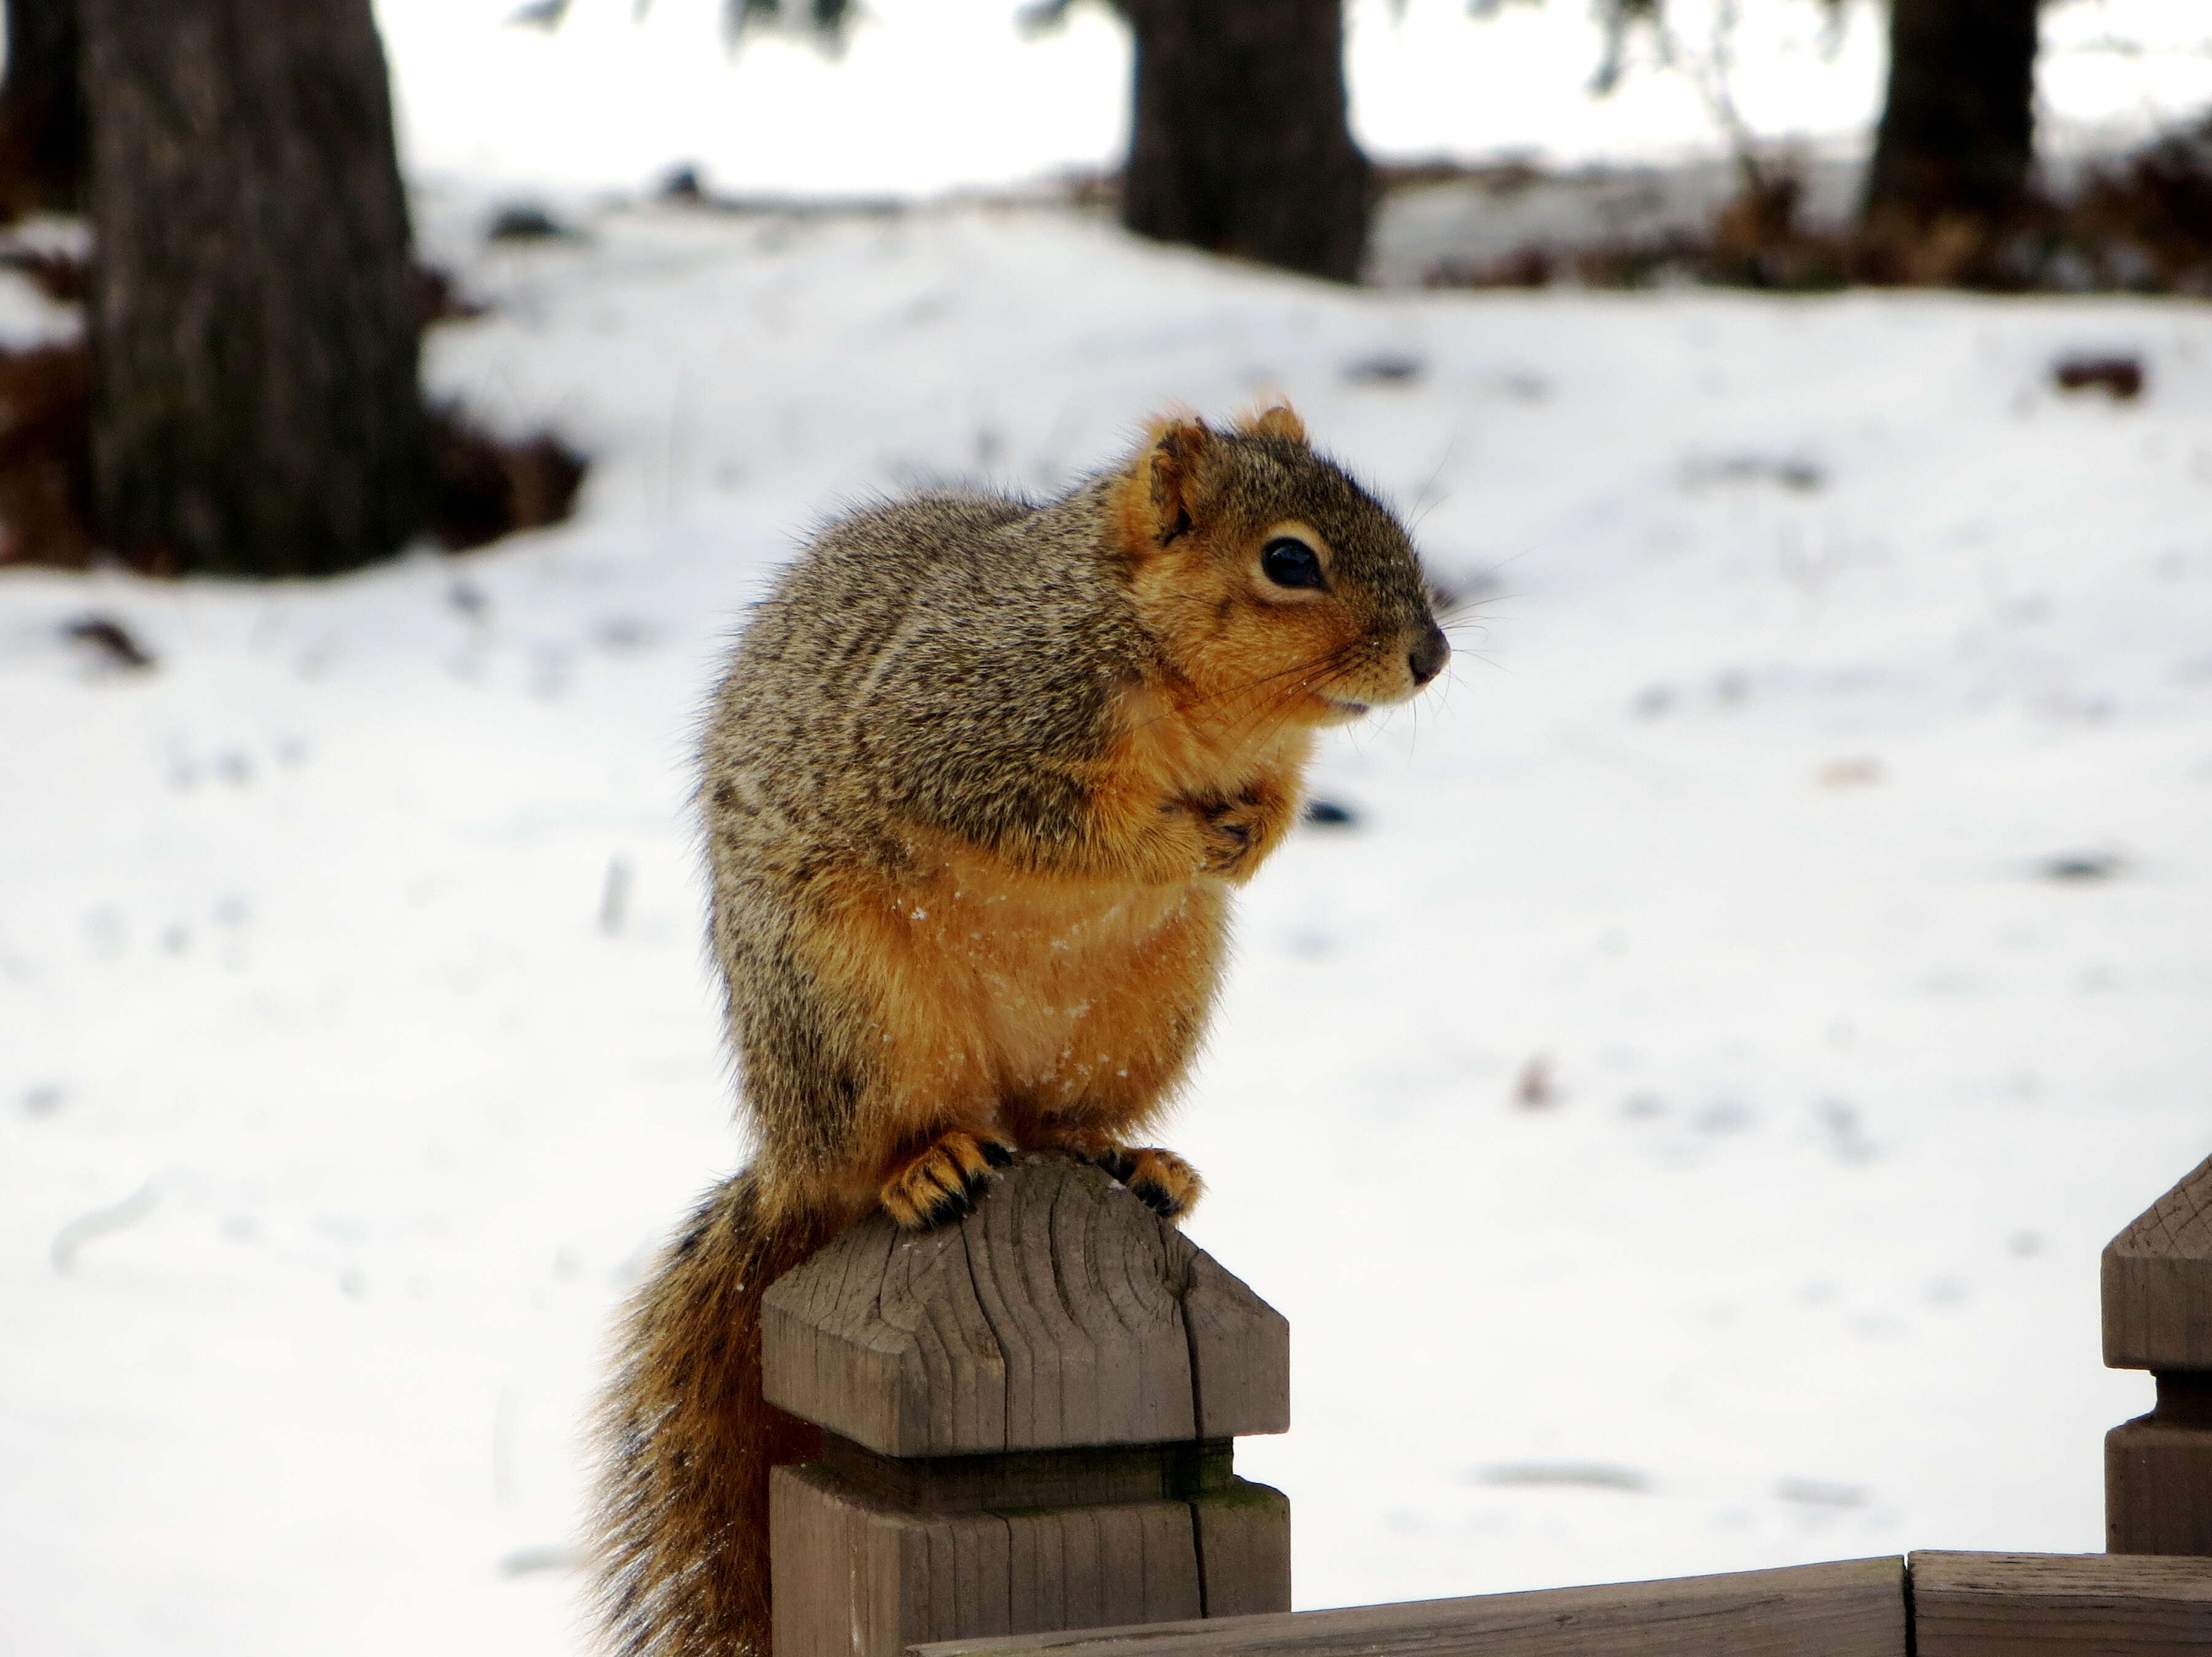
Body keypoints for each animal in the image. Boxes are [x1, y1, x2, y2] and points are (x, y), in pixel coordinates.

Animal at [588, 404, 1451, 1655]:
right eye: (1289, 561)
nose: (1430, 654)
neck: (1202, 709)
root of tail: (792, 1157)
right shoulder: (968, 722)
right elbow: (1052, 822)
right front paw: (1172, 840)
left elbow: (1277, 806)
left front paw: (1249, 837)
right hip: (850, 1010)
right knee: (890, 1140)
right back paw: (924, 1167)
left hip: (1151, 1005)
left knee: (1050, 1126)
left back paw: (1123, 1157)